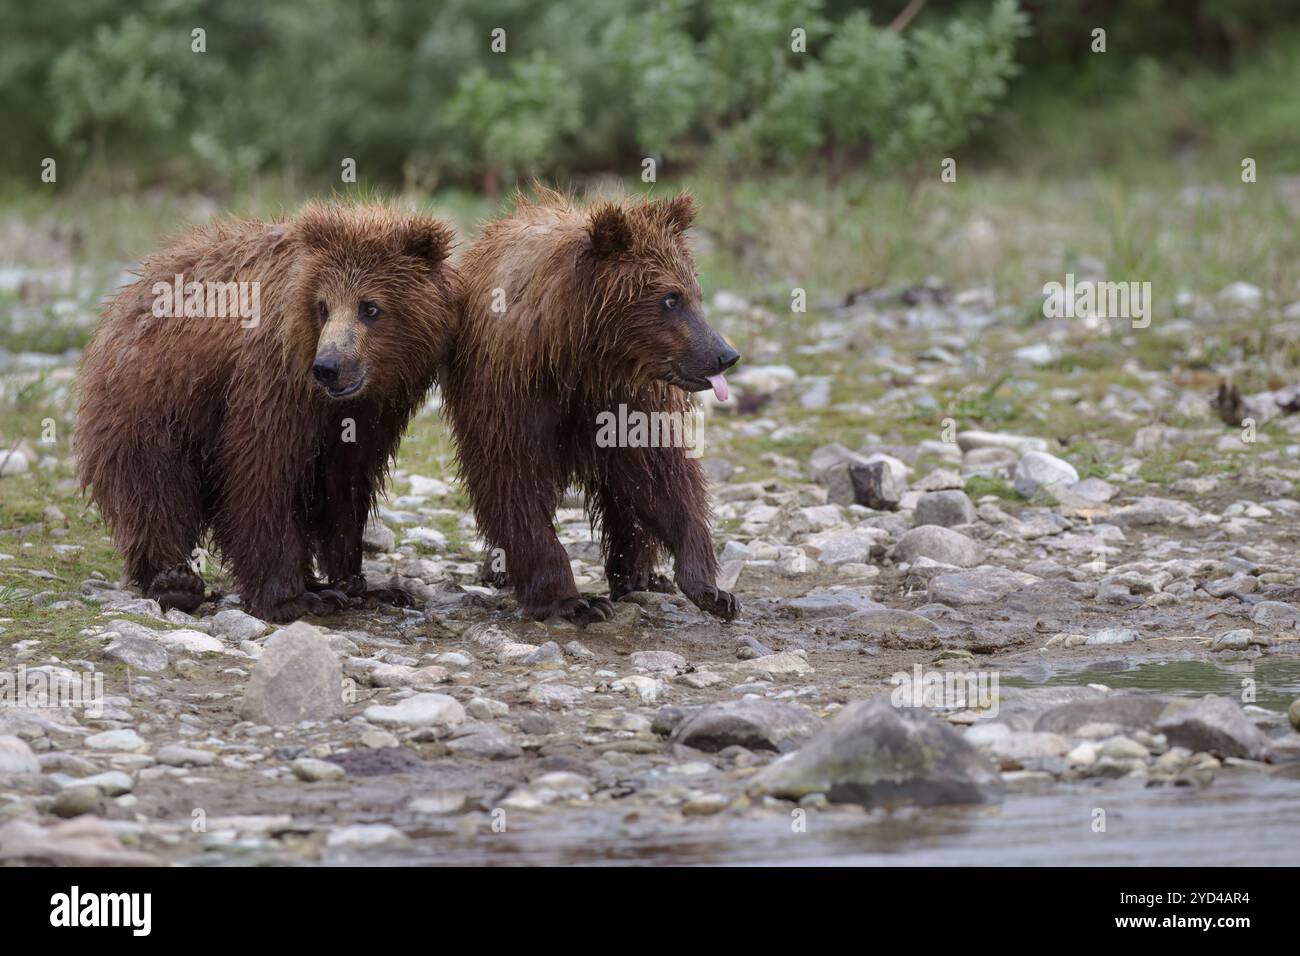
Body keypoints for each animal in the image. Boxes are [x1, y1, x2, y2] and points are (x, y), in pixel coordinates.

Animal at [76, 202, 460, 623]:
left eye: (370, 307)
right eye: (323, 306)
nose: (328, 366)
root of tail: (122, 301)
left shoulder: (372, 414)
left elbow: (347, 486)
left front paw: (364, 583)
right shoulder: (272, 382)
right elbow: (262, 472)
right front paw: (290, 598)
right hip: (150, 400)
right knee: (156, 489)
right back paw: (173, 581)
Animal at [443, 188, 740, 624]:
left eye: (694, 293)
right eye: (671, 298)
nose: (725, 355)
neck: (585, 360)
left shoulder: (632, 401)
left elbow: (664, 477)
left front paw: (710, 588)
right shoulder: (513, 394)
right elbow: (514, 482)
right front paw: (573, 600)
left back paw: (640, 575)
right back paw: (498, 569)